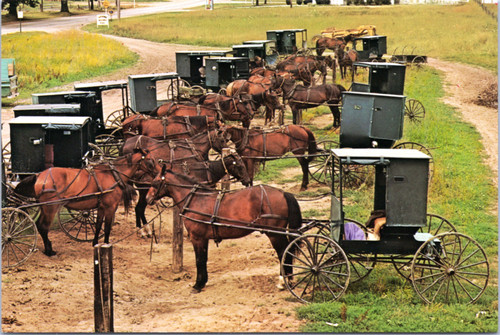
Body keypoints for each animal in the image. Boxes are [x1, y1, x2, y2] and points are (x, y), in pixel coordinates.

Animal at [15, 148, 156, 256]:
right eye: (151, 161)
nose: (157, 175)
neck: (112, 174)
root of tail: (39, 175)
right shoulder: (110, 207)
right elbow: (107, 227)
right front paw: (106, 244)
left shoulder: (101, 207)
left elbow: (98, 225)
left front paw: (95, 243)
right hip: (51, 208)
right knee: (43, 227)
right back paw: (49, 251)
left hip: (44, 208)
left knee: (39, 225)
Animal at [145, 167, 300, 292]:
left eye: (155, 182)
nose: (147, 199)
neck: (196, 200)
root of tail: (282, 193)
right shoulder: (204, 239)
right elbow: (204, 259)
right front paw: (203, 281)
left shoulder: (197, 238)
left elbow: (199, 260)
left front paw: (197, 285)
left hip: (274, 234)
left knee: (283, 253)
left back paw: (282, 282)